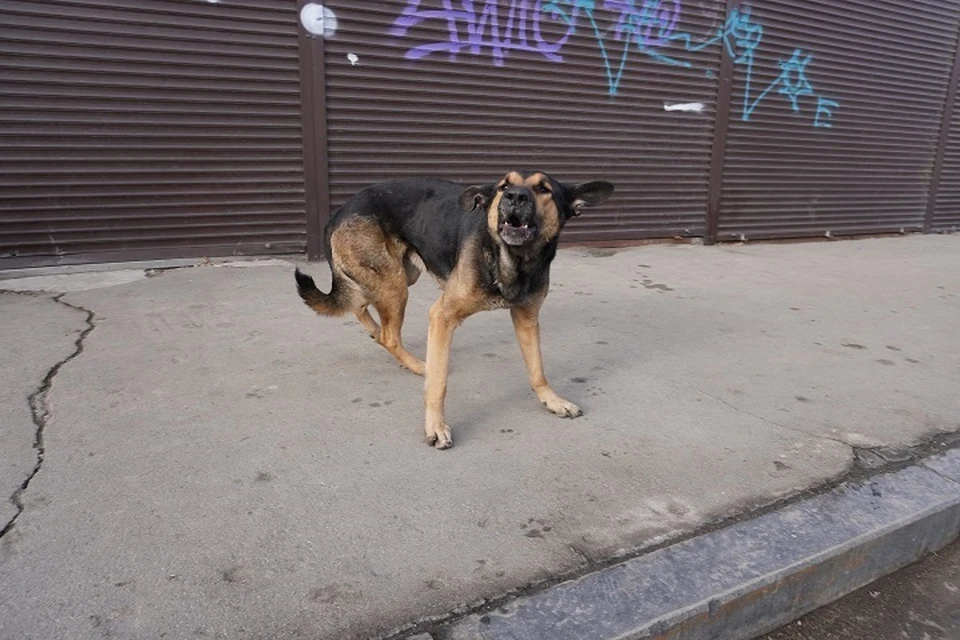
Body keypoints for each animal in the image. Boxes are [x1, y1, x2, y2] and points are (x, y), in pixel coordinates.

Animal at [292, 170, 620, 450]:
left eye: (544, 189)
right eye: (503, 185)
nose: (514, 197)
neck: (512, 259)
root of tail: (338, 212)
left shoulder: (527, 319)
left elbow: (537, 369)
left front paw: (552, 400)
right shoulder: (442, 316)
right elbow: (438, 385)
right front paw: (436, 426)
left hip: (402, 275)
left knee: (361, 305)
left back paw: (377, 333)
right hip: (394, 284)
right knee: (387, 332)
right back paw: (416, 363)